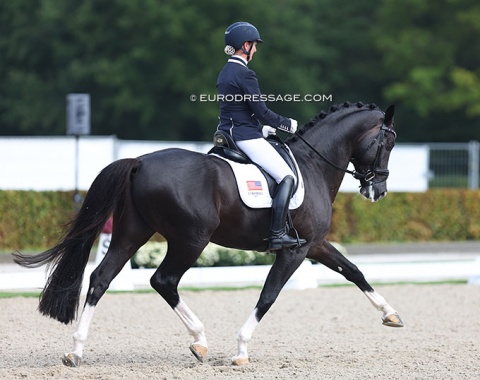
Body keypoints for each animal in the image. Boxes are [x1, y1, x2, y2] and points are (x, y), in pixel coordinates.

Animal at [13, 101, 402, 368]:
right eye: (388, 143)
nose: (378, 191)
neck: (313, 165)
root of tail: (139, 161)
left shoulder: (315, 244)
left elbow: (354, 271)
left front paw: (391, 315)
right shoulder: (295, 250)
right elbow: (268, 295)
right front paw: (241, 350)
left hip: (131, 233)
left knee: (100, 278)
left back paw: (76, 350)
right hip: (191, 239)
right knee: (163, 280)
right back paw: (199, 340)